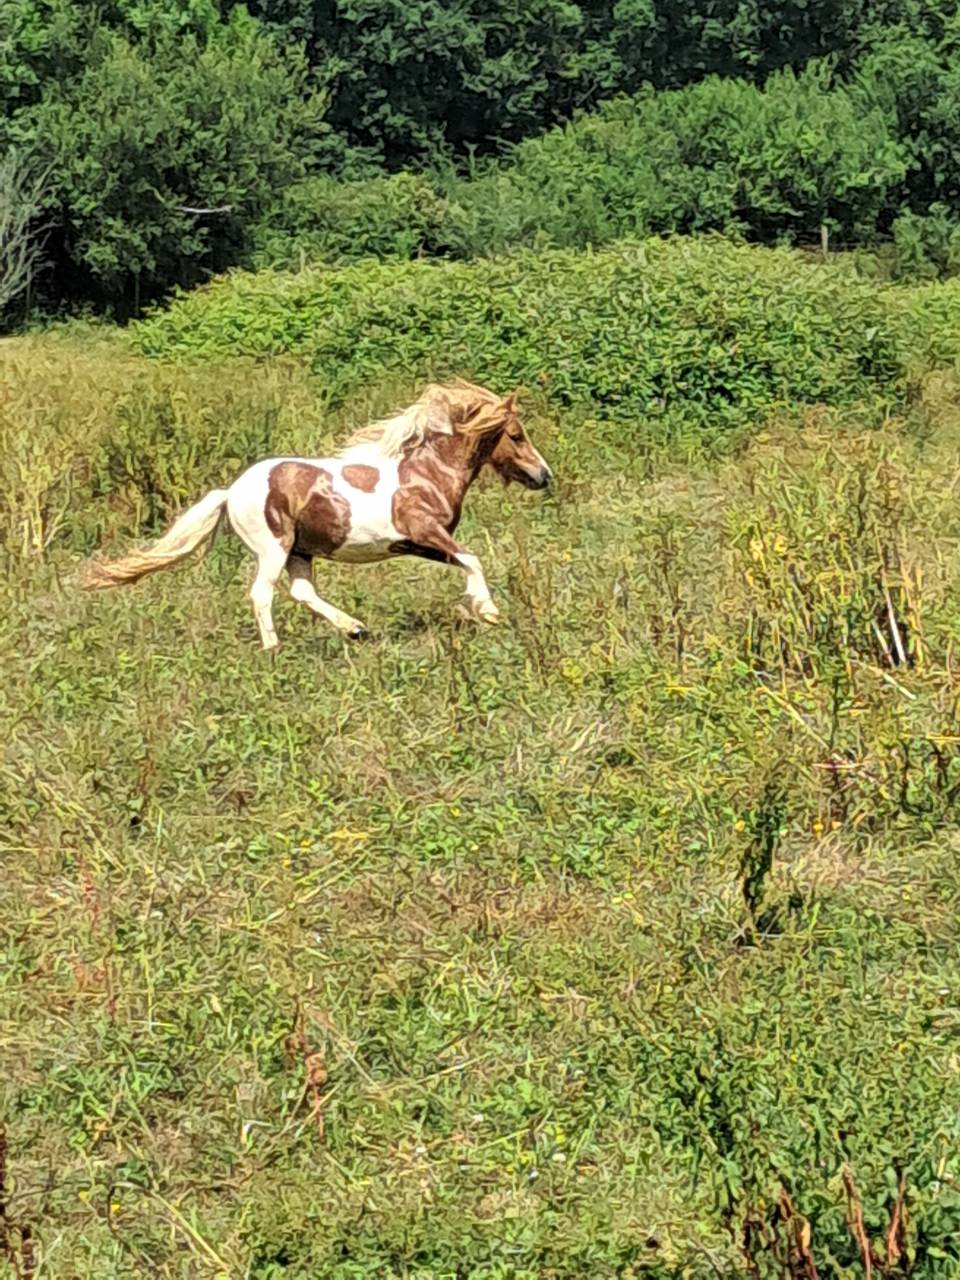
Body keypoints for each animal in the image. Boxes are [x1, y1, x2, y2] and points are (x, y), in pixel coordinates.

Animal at [83, 380, 552, 650]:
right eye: (516, 435)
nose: (544, 476)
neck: (425, 474)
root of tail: (231, 491)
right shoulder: (426, 532)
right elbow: (473, 558)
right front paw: (488, 611)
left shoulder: (416, 544)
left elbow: (466, 562)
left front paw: (472, 608)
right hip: (274, 547)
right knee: (262, 593)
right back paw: (274, 648)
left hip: (301, 551)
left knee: (302, 592)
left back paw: (355, 629)